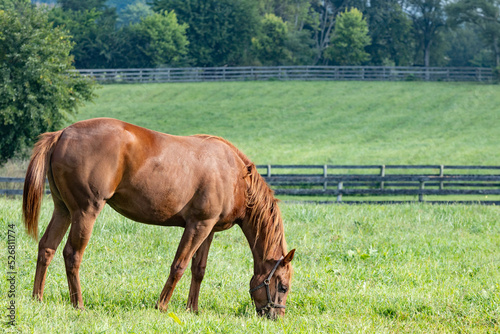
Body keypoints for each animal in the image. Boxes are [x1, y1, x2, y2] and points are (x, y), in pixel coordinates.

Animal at [23, 117, 294, 318]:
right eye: (283, 286)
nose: (275, 317)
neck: (235, 175)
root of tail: (61, 134)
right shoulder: (198, 226)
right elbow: (179, 265)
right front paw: (162, 306)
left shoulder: (209, 229)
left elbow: (198, 269)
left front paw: (192, 309)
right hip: (85, 211)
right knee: (72, 254)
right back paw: (78, 303)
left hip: (63, 210)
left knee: (47, 247)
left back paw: (38, 298)